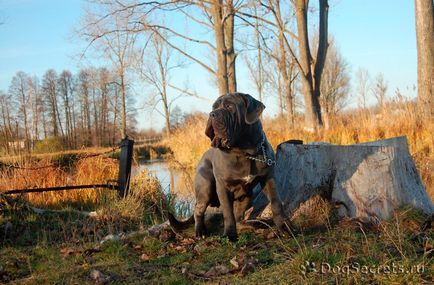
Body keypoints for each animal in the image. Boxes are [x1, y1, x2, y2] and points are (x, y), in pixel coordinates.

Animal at [171, 93, 286, 240]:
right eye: (213, 107)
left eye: (229, 106)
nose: (212, 114)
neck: (245, 152)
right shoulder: (223, 187)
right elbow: (227, 213)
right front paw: (230, 235)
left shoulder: (268, 178)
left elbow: (276, 203)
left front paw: (285, 227)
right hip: (205, 187)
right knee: (198, 210)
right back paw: (200, 231)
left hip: (249, 196)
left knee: (239, 217)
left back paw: (253, 225)